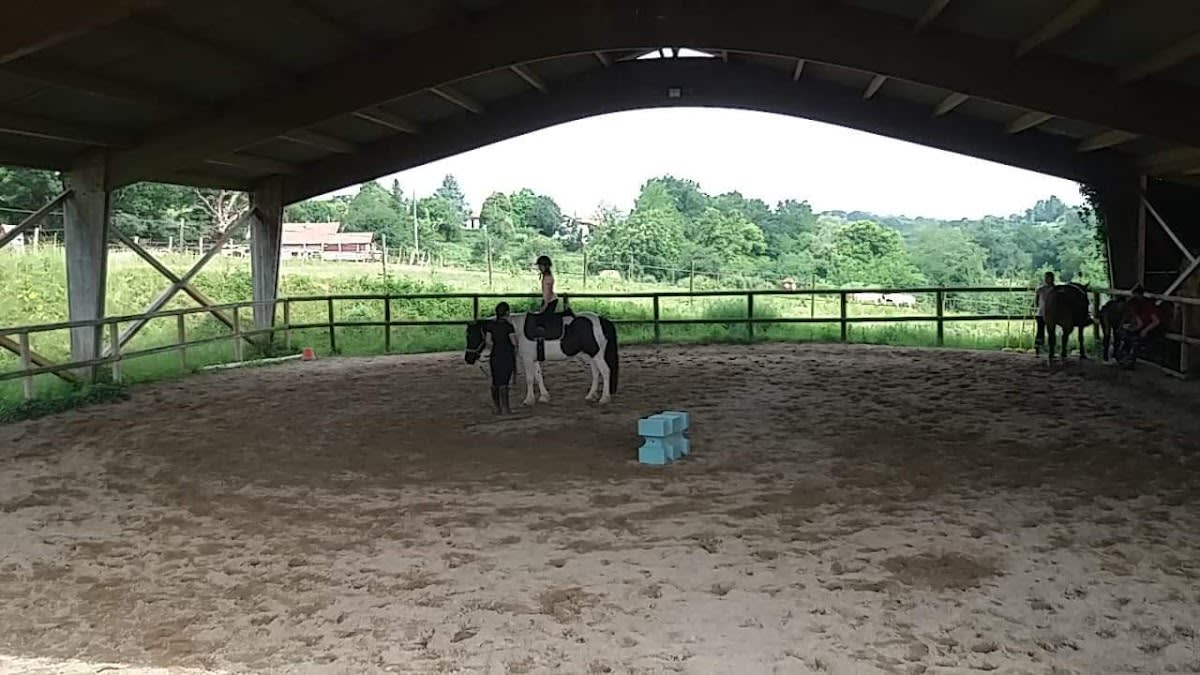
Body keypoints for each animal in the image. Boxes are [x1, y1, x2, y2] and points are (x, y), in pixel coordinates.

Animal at [465, 310, 619, 406]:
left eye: (473, 336)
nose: (468, 359)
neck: (515, 329)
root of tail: (602, 320)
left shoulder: (527, 359)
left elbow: (529, 379)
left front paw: (528, 400)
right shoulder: (534, 360)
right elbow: (538, 376)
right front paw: (544, 396)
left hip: (597, 355)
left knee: (605, 372)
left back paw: (604, 398)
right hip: (590, 356)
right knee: (596, 373)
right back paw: (591, 395)